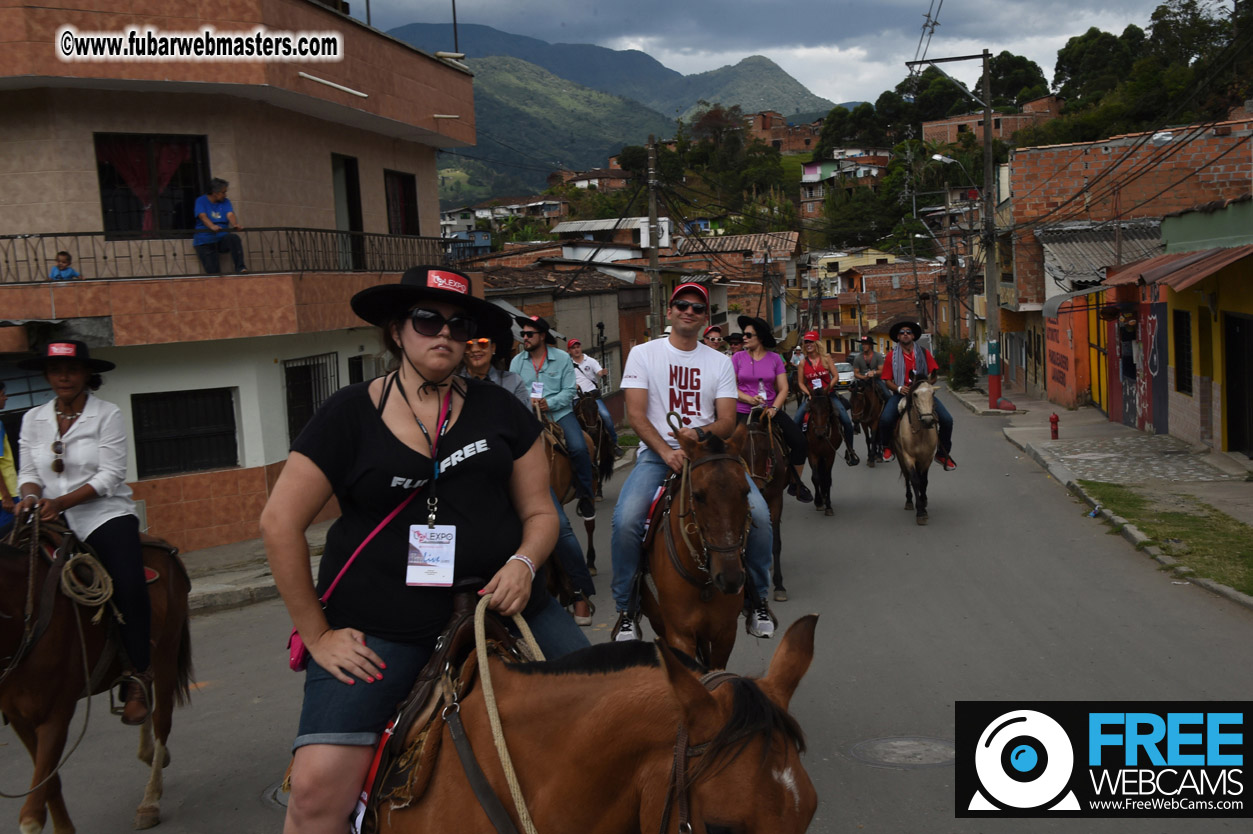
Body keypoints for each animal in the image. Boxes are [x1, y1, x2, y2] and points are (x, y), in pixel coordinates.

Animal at [0, 515, 190, 826]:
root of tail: (165, 547)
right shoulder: (18, 716)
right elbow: (48, 783)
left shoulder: (57, 713)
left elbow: (32, 813)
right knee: (143, 689)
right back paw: (149, 749)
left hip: (167, 648)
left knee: (162, 718)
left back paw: (150, 800)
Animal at [892, 373, 942, 523]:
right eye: (914, 394)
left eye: (933, 393)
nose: (928, 420)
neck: (920, 434)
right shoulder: (908, 457)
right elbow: (915, 480)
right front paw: (920, 512)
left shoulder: (927, 458)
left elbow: (923, 481)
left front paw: (923, 503)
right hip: (901, 457)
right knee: (907, 476)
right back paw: (909, 501)